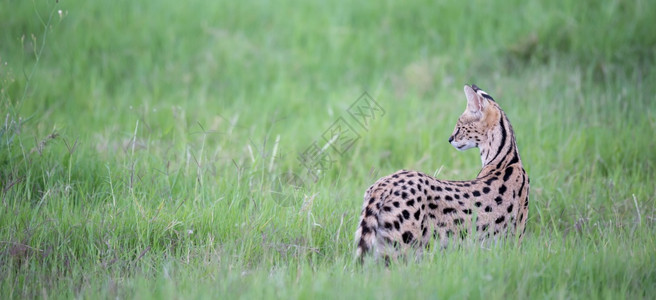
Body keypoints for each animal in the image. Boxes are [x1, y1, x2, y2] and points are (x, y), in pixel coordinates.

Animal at [354, 84, 528, 262]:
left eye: (460, 126)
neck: (508, 157)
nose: (450, 139)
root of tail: (384, 183)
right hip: (402, 246)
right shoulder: (515, 241)